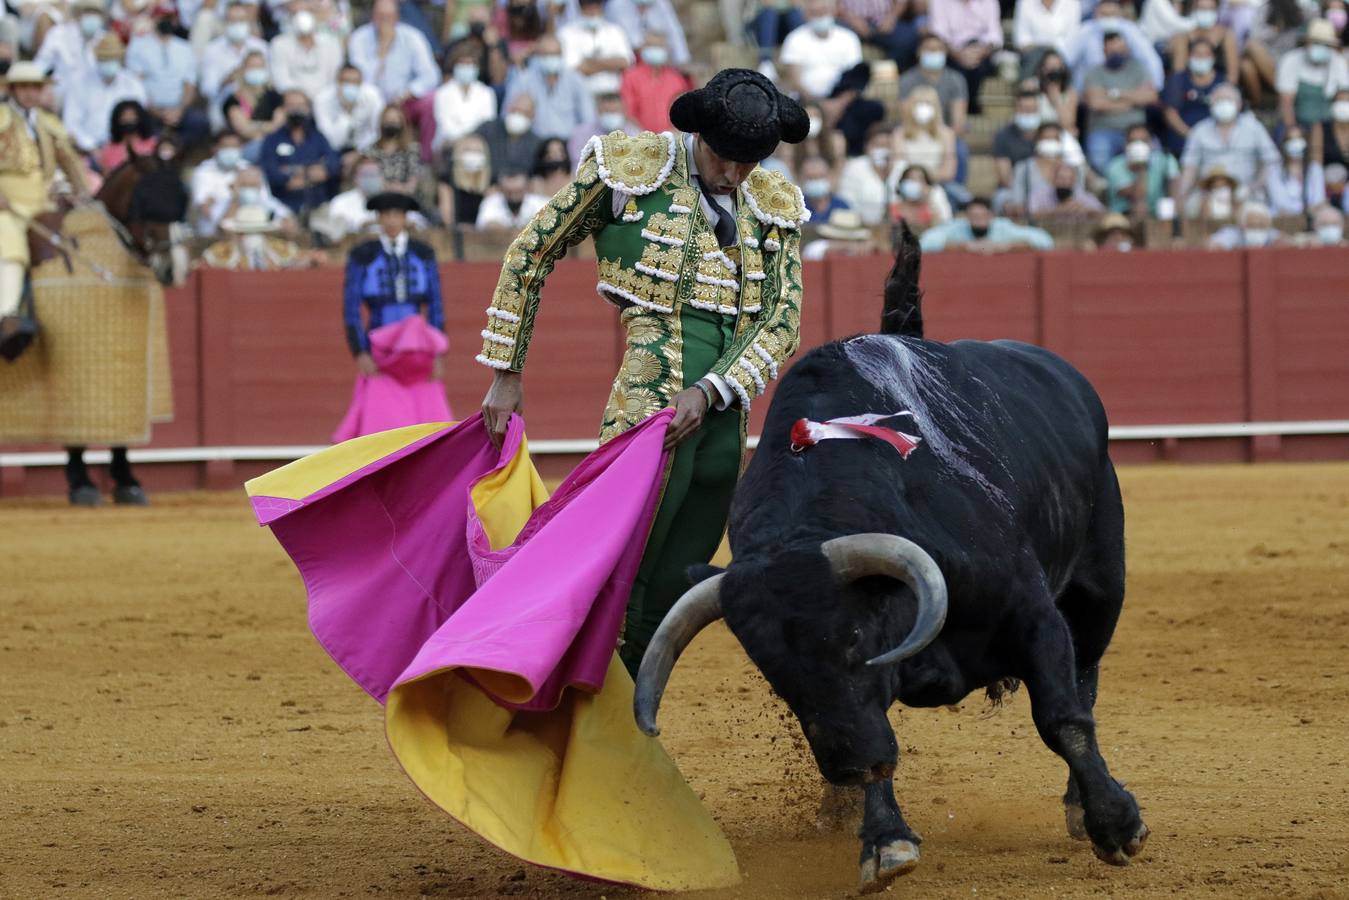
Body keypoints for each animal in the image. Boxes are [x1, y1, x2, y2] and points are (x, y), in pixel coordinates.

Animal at [631, 237, 1149, 885]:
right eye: (773, 672)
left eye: (854, 638)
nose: (847, 767)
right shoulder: (857, 710)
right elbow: (877, 739)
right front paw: (884, 841)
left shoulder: (1033, 615)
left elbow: (1062, 717)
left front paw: (1116, 824)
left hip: (1100, 587)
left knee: (1087, 677)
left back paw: (1081, 807)